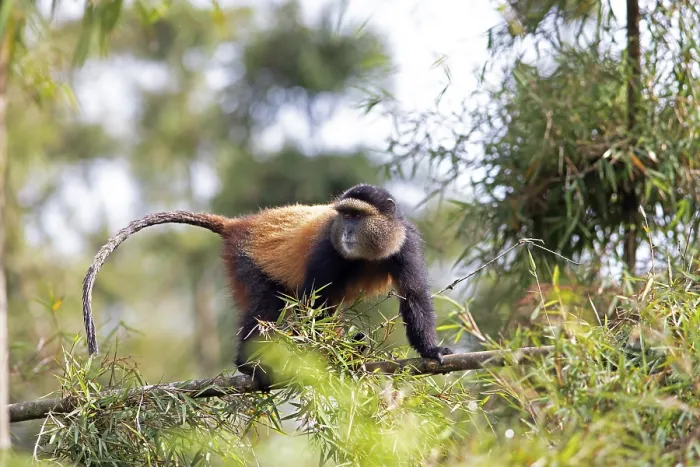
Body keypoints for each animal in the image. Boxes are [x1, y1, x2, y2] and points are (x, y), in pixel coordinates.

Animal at [82, 184, 453, 390]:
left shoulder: (405, 244)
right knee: (264, 304)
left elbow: (414, 295)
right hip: (246, 263)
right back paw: (249, 364)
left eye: (358, 217)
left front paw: (430, 350)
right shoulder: (327, 249)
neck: (364, 253)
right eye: (345, 216)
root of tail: (238, 224)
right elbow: (313, 305)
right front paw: (332, 356)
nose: (347, 232)